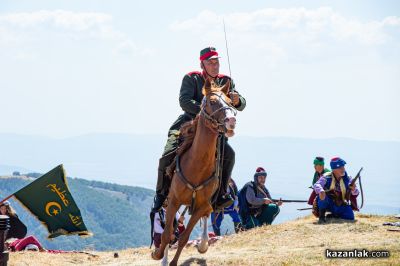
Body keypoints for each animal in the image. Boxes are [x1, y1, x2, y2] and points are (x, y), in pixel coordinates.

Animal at [152, 79, 236, 266]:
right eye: (212, 101)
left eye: (230, 101)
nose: (231, 120)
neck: (197, 165)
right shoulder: (174, 201)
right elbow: (167, 235)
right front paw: (159, 255)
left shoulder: (201, 206)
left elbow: (184, 237)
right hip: (168, 201)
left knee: (206, 215)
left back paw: (203, 243)